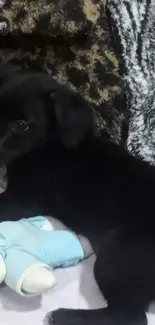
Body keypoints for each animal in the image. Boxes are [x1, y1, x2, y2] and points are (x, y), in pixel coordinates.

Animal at [0, 65, 154, 324]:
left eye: (21, 125)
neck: (49, 147)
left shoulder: (24, 200)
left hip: (117, 253)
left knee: (130, 316)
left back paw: (63, 315)